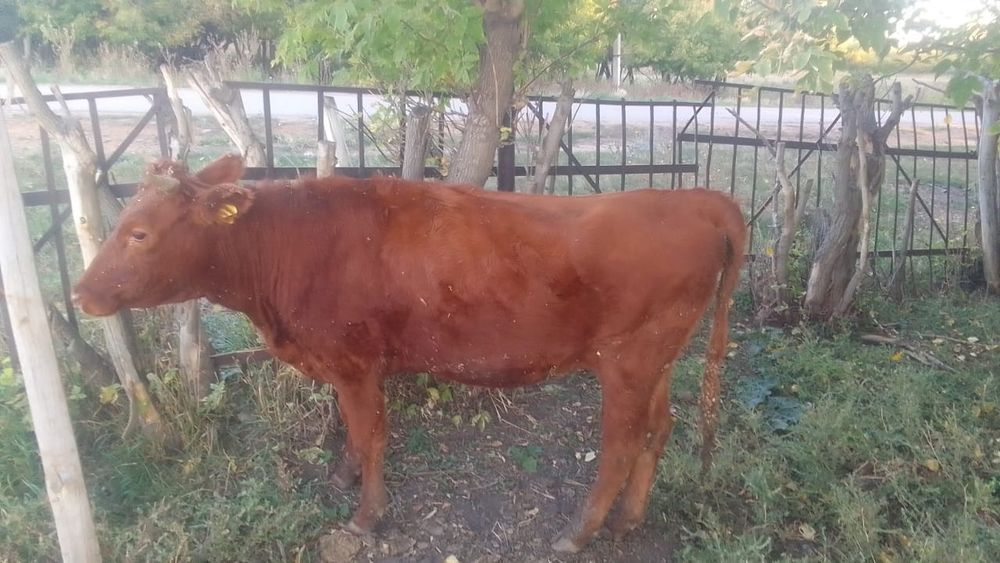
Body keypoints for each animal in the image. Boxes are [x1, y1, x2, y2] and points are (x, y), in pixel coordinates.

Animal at [72, 154, 746, 553]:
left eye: (139, 232)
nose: (79, 293)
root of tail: (697, 197)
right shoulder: (341, 365)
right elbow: (351, 430)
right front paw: (340, 475)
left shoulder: (355, 362)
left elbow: (371, 434)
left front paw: (366, 516)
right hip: (657, 359)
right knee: (660, 428)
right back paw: (630, 520)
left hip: (628, 361)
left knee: (621, 442)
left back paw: (579, 532)